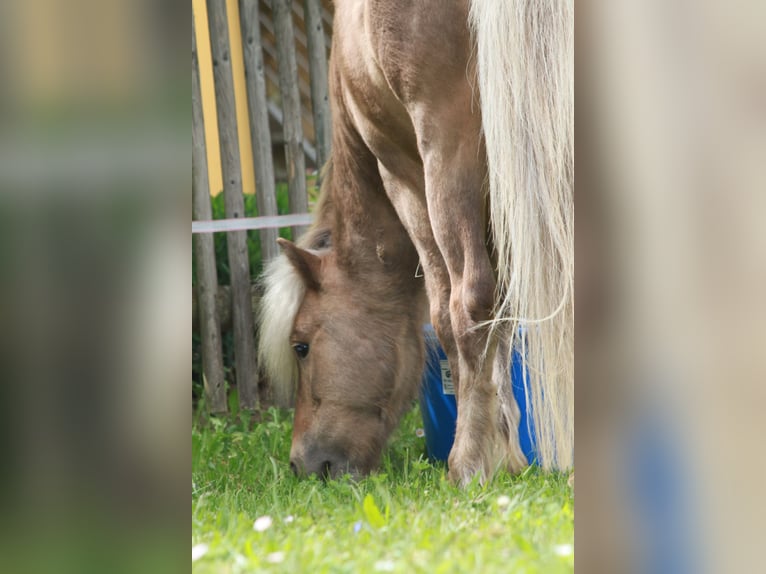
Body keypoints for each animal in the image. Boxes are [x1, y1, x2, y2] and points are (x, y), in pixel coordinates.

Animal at [258, 0, 573, 485]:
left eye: (301, 346)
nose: (302, 464)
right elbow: (503, 323)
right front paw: (509, 457)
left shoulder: (403, 177)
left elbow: (449, 314)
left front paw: (480, 460)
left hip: (446, 155)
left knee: (467, 303)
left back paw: (464, 464)